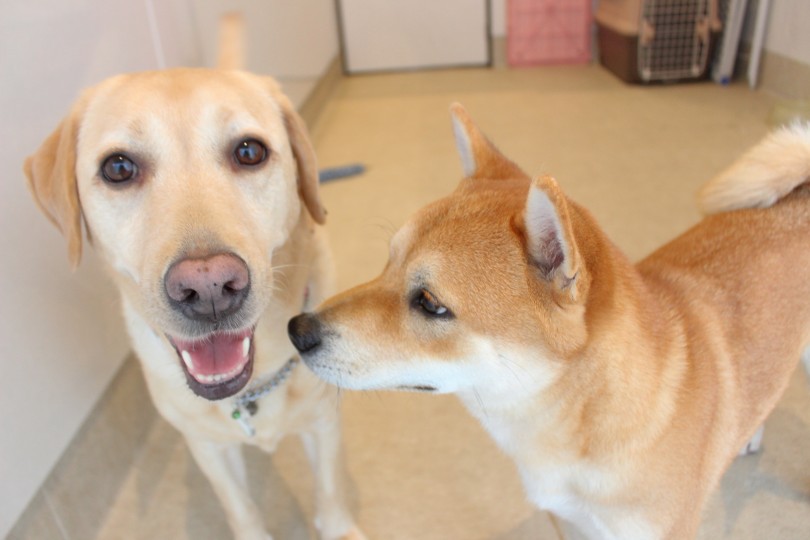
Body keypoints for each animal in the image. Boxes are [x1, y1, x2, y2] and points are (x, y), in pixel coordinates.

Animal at [23, 14, 362, 536]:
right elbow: (239, 507)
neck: (253, 388)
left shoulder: (324, 422)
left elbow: (330, 493)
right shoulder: (208, 449)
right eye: (118, 167)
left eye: (249, 152)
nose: (209, 287)